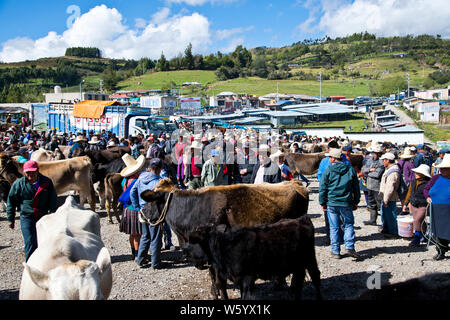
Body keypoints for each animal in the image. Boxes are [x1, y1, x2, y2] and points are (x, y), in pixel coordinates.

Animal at [188, 216, 322, 302]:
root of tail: (302, 219)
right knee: (299, 282)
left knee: (315, 276)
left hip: (310, 258)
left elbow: (245, 297)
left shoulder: (248, 277)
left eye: (198, 231)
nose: (189, 237)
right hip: (298, 264)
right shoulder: (238, 279)